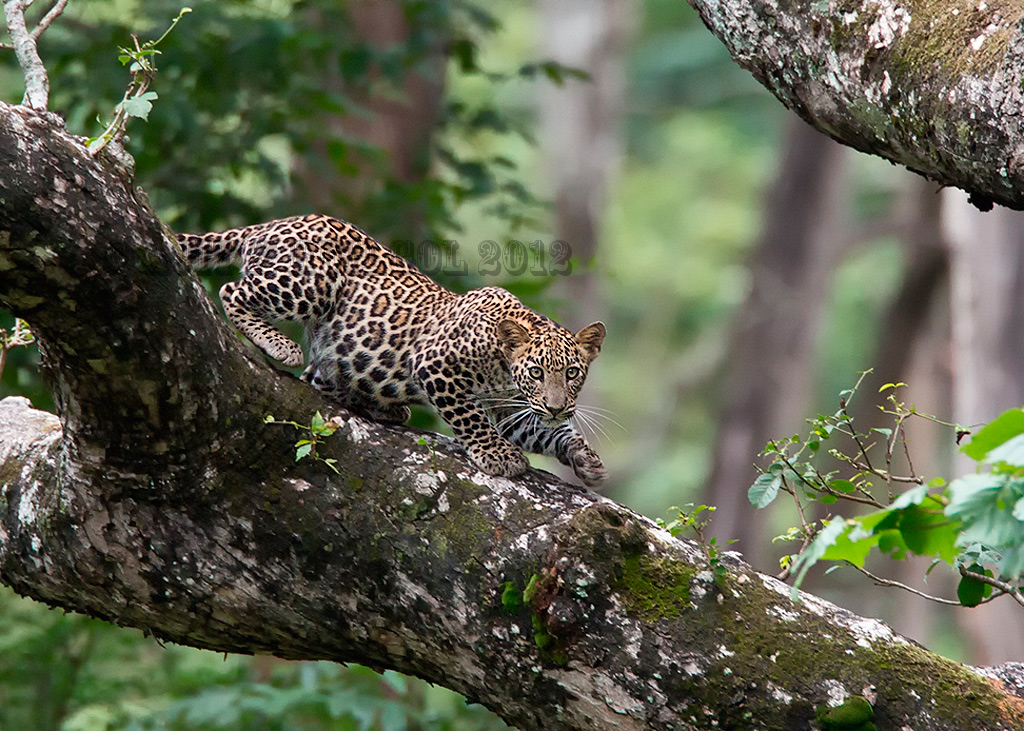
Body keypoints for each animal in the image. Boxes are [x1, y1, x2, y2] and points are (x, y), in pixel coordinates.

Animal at [177, 214, 607, 486]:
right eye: (536, 372)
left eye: (572, 373)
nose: (557, 406)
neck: (501, 361)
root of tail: (269, 224)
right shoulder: (436, 367)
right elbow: (472, 419)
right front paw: (498, 455)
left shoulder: (512, 407)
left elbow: (540, 431)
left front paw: (584, 458)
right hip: (311, 284)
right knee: (232, 291)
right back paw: (280, 345)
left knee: (318, 377)